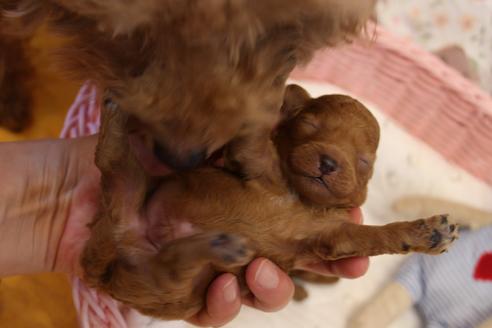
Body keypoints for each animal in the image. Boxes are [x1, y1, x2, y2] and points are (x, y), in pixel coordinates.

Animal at [80, 84, 458, 320]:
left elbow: (372, 236)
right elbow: (254, 142)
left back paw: (219, 246)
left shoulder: (332, 235)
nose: (328, 162)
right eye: (309, 124)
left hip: (160, 275)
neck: (297, 196)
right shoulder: (256, 164)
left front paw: (428, 234)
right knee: (110, 161)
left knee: (166, 255)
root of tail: (100, 269)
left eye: (363, 161)